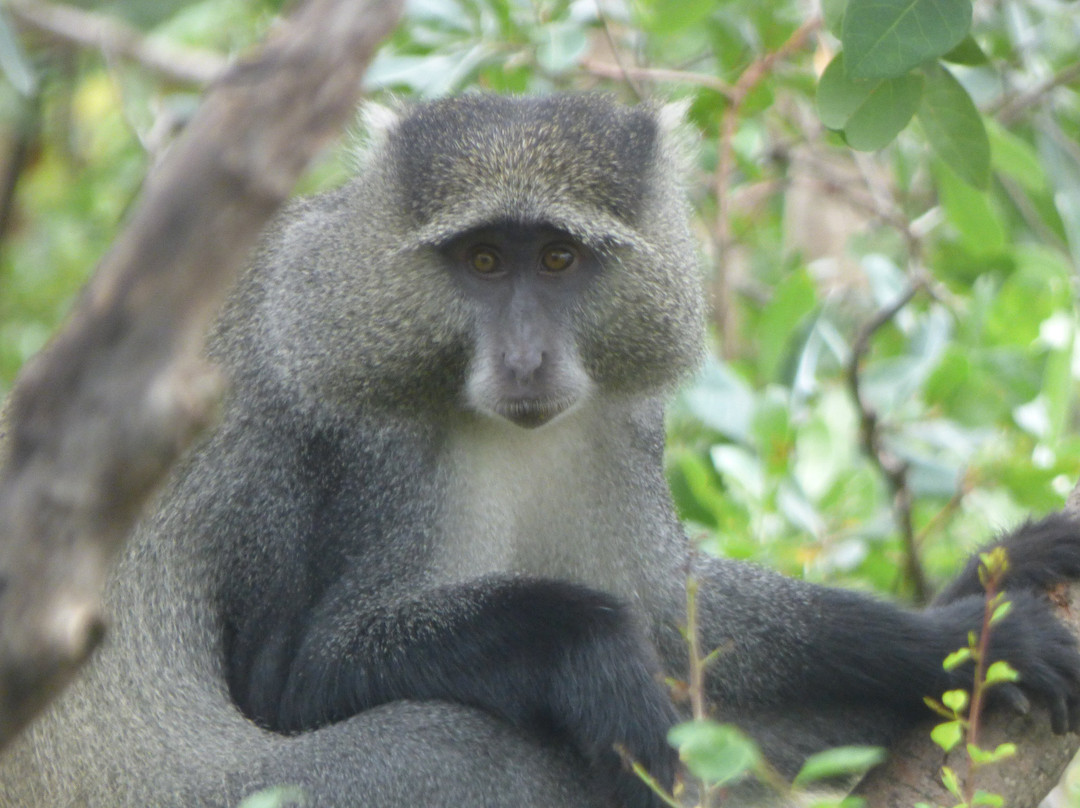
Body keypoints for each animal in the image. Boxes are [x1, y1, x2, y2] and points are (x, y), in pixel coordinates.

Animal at [3, 93, 1080, 808]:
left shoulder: (627, 420)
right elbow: (304, 672)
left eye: (559, 259)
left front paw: (969, 629)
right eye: (482, 260)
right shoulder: (366, 433)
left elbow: (684, 620)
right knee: (456, 742)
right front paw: (589, 647)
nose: (524, 358)